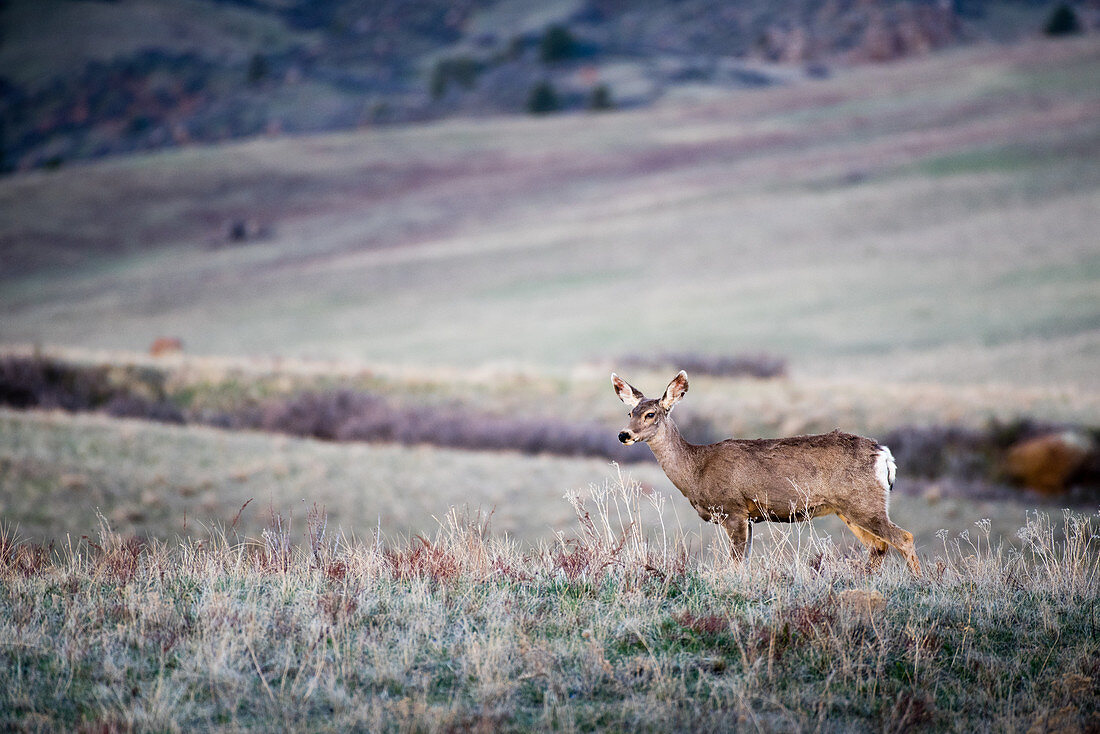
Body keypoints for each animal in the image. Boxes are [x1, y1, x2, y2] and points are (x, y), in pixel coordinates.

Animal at [611, 374, 919, 572]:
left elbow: (737, 564)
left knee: (903, 538)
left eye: (651, 414)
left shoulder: (733, 509)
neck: (696, 469)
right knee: (878, 546)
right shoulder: (748, 517)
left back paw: (919, 583)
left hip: (864, 502)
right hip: (847, 508)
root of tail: (884, 454)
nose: (624, 435)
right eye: (629, 413)